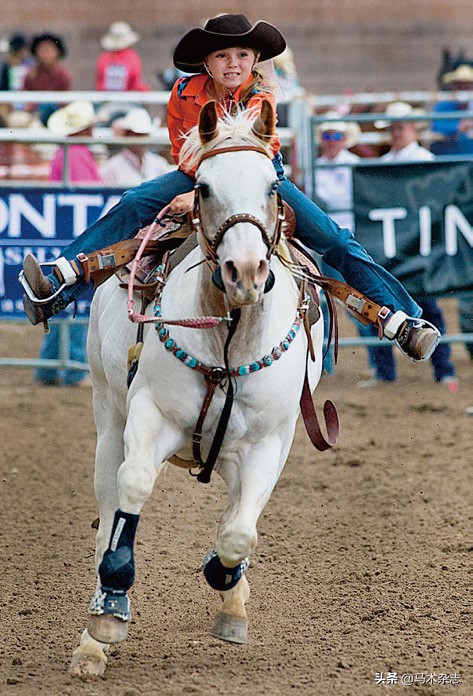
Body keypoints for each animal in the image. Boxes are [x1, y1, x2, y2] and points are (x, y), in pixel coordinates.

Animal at [71, 100, 324, 676]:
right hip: (107, 418)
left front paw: (227, 587)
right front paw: (110, 611)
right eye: (203, 187)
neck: (227, 336)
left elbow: (237, 533)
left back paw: (233, 596)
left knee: (236, 513)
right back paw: (93, 638)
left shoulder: (267, 444)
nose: (245, 272)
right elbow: (133, 488)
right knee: (106, 511)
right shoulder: (150, 415)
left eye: (274, 186)